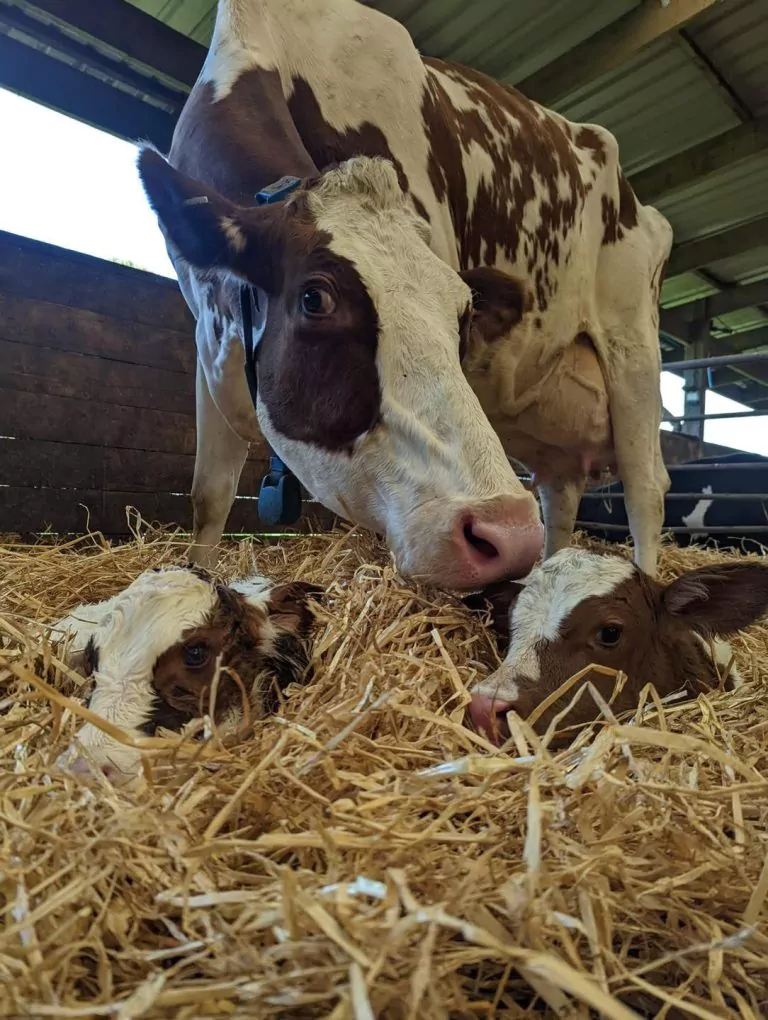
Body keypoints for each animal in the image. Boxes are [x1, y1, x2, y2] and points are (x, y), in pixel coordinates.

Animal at [137, 0, 672, 590]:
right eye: (315, 299)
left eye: (464, 317)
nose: (506, 532)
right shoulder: (210, 345)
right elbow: (208, 497)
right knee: (558, 498)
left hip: (634, 350)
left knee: (647, 489)